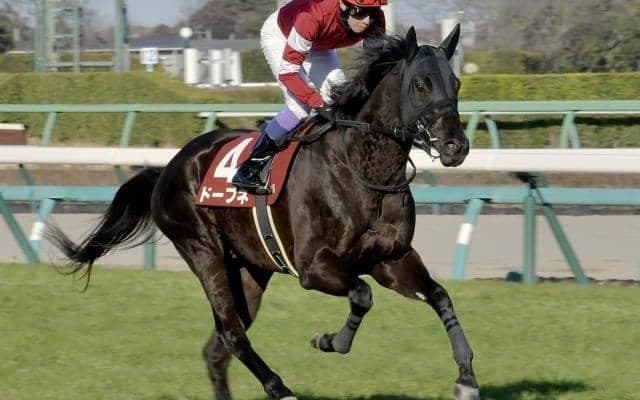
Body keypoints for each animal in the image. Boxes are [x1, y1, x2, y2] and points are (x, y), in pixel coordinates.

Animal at [47, 26, 480, 400]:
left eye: (456, 83)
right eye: (420, 84)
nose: (456, 146)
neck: (363, 171)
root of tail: (168, 168)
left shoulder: (391, 258)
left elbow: (439, 296)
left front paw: (466, 379)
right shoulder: (314, 267)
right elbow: (362, 294)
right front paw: (328, 340)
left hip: (249, 270)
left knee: (217, 347)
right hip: (204, 252)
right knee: (232, 333)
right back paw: (280, 388)